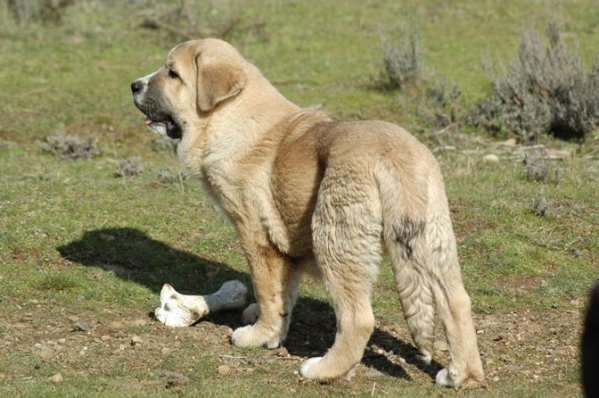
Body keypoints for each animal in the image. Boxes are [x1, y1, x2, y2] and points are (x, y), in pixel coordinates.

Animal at [132, 38, 488, 388]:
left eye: (173, 74)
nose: (134, 85)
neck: (231, 115)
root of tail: (394, 156)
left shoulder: (254, 235)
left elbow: (267, 291)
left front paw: (258, 335)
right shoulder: (284, 245)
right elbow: (283, 294)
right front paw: (271, 331)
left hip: (335, 236)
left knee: (358, 317)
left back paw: (326, 369)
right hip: (433, 239)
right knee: (456, 301)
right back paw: (461, 374)